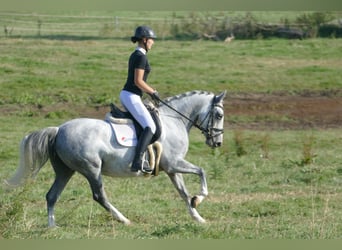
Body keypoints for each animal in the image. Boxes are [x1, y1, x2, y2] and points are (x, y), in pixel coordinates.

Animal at [5, 90, 226, 227]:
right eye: (219, 115)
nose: (217, 143)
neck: (175, 120)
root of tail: (59, 129)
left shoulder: (172, 169)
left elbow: (183, 193)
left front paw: (198, 217)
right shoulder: (174, 163)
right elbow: (201, 172)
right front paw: (199, 198)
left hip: (65, 171)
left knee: (52, 195)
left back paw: (52, 226)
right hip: (91, 169)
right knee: (99, 196)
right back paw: (124, 220)